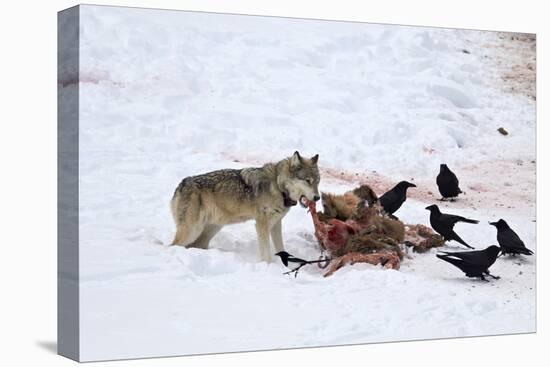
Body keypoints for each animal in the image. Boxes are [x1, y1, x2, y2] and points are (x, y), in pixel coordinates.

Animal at [170, 152, 322, 262]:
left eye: (317, 182)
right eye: (308, 181)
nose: (317, 198)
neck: (278, 187)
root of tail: (181, 185)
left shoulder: (276, 224)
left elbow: (281, 247)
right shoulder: (261, 225)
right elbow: (266, 253)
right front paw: (268, 266)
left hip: (210, 230)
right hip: (192, 230)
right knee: (172, 245)